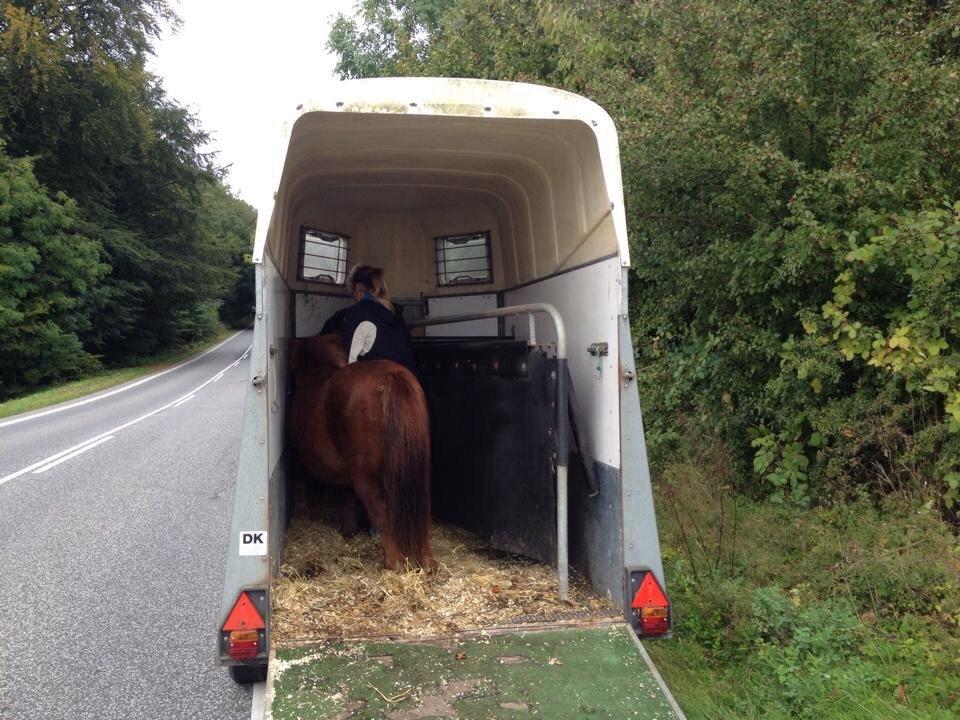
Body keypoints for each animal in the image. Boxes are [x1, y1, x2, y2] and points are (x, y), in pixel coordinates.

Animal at [286, 334, 434, 572]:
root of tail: (390, 376)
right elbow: (348, 497)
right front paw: (349, 530)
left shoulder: (310, 467)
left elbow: (317, 495)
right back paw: (426, 562)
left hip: (367, 476)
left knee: (381, 510)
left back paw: (394, 563)